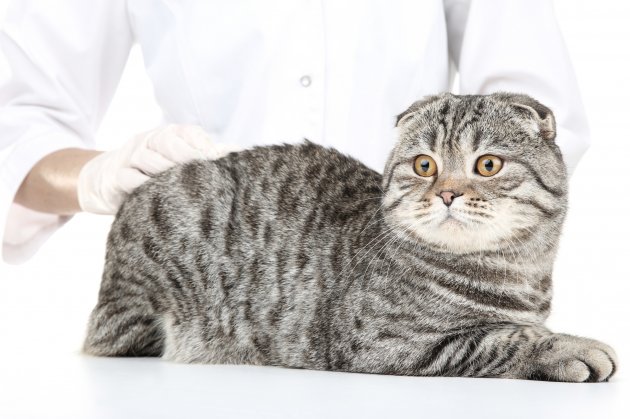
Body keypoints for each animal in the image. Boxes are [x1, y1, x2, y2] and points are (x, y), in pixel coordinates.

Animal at [82, 92, 616, 384]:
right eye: (425, 165)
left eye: (487, 164)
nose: (446, 193)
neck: (512, 271)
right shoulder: (384, 342)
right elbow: (502, 339)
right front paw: (570, 348)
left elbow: (515, 329)